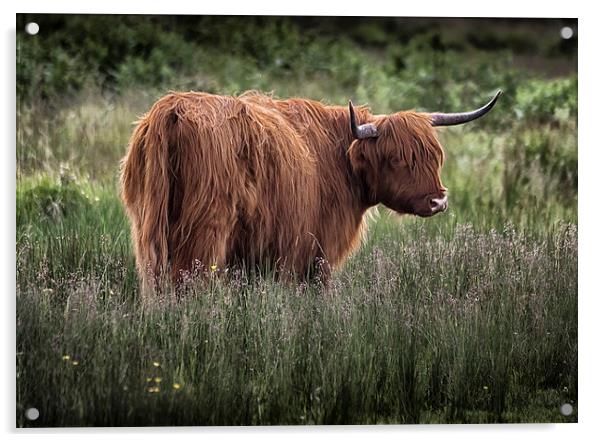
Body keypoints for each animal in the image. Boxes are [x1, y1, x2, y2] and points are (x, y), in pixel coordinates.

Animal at [119, 89, 500, 294]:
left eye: (435, 156)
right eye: (397, 158)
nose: (439, 200)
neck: (338, 158)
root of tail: (171, 110)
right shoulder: (313, 252)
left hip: (148, 229)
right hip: (205, 232)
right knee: (188, 285)